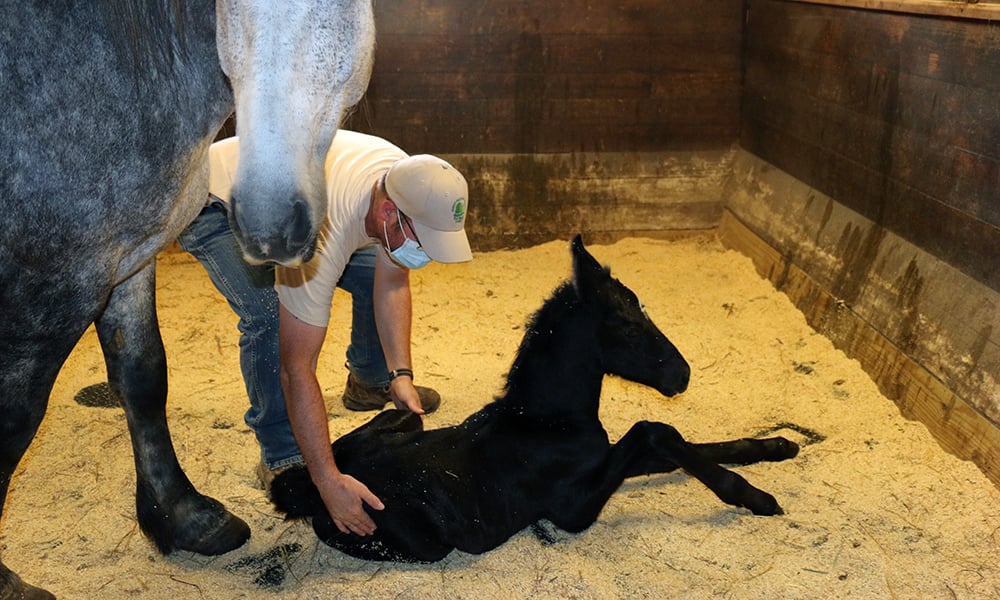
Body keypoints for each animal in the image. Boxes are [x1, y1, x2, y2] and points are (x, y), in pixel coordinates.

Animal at [0, 2, 376, 596]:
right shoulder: (50, 290)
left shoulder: (128, 260)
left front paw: (185, 519)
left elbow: (143, 378)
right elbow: (14, 423)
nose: (268, 223)